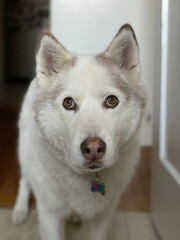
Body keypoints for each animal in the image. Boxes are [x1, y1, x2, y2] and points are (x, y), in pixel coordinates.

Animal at [11, 23, 146, 240]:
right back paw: (20, 210)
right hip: (25, 154)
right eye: (68, 103)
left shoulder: (104, 215)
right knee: (25, 180)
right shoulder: (49, 215)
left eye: (112, 100)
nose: (93, 148)